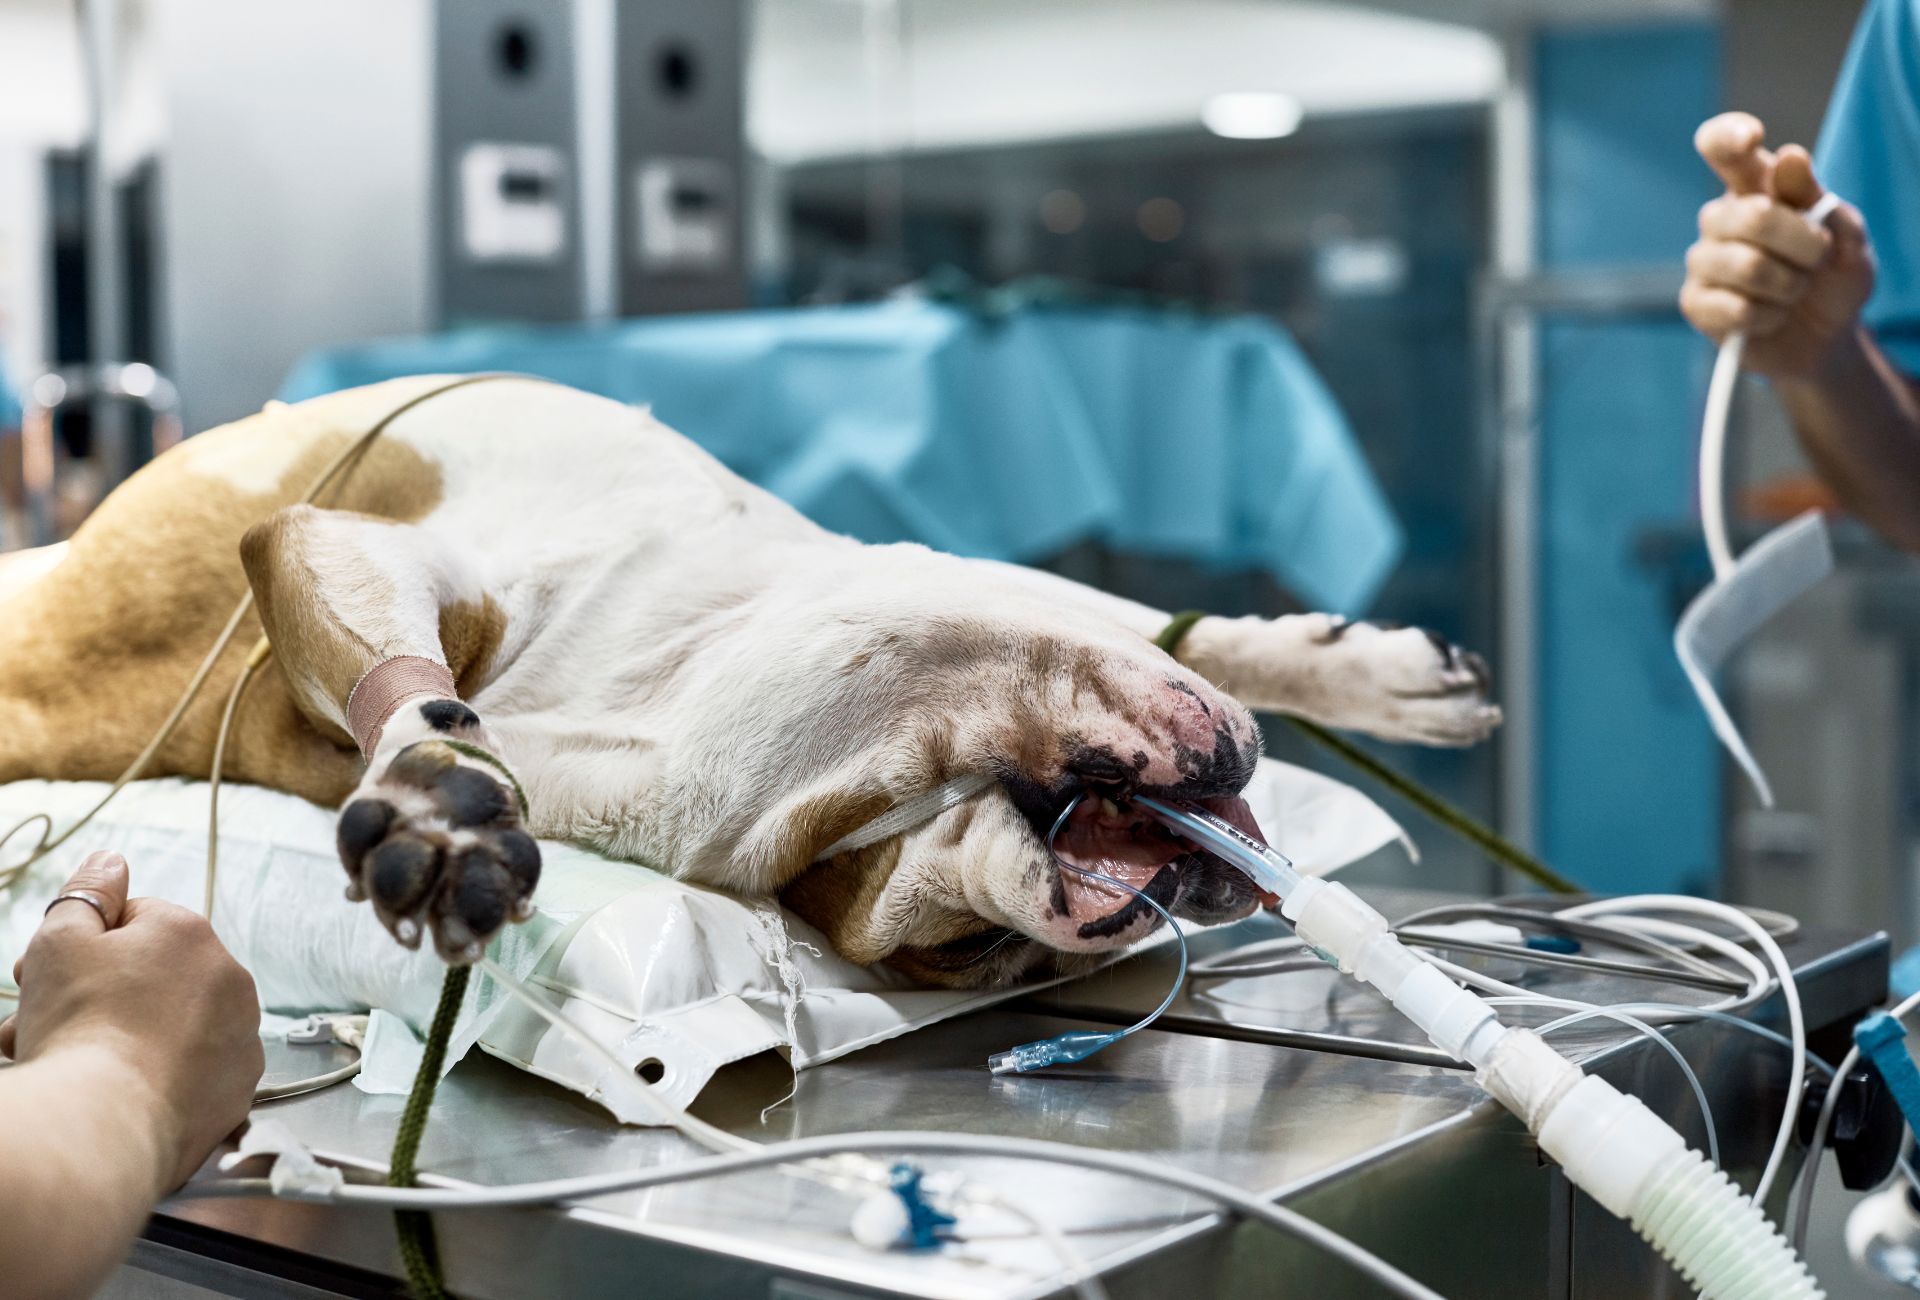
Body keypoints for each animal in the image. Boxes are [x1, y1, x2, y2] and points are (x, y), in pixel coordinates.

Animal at [0, 374, 1497, 983]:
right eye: (966, 952)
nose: (1042, 918)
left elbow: (1176, 627)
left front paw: (1367, 675)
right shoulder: (331, 549)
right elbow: (407, 699)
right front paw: (437, 799)